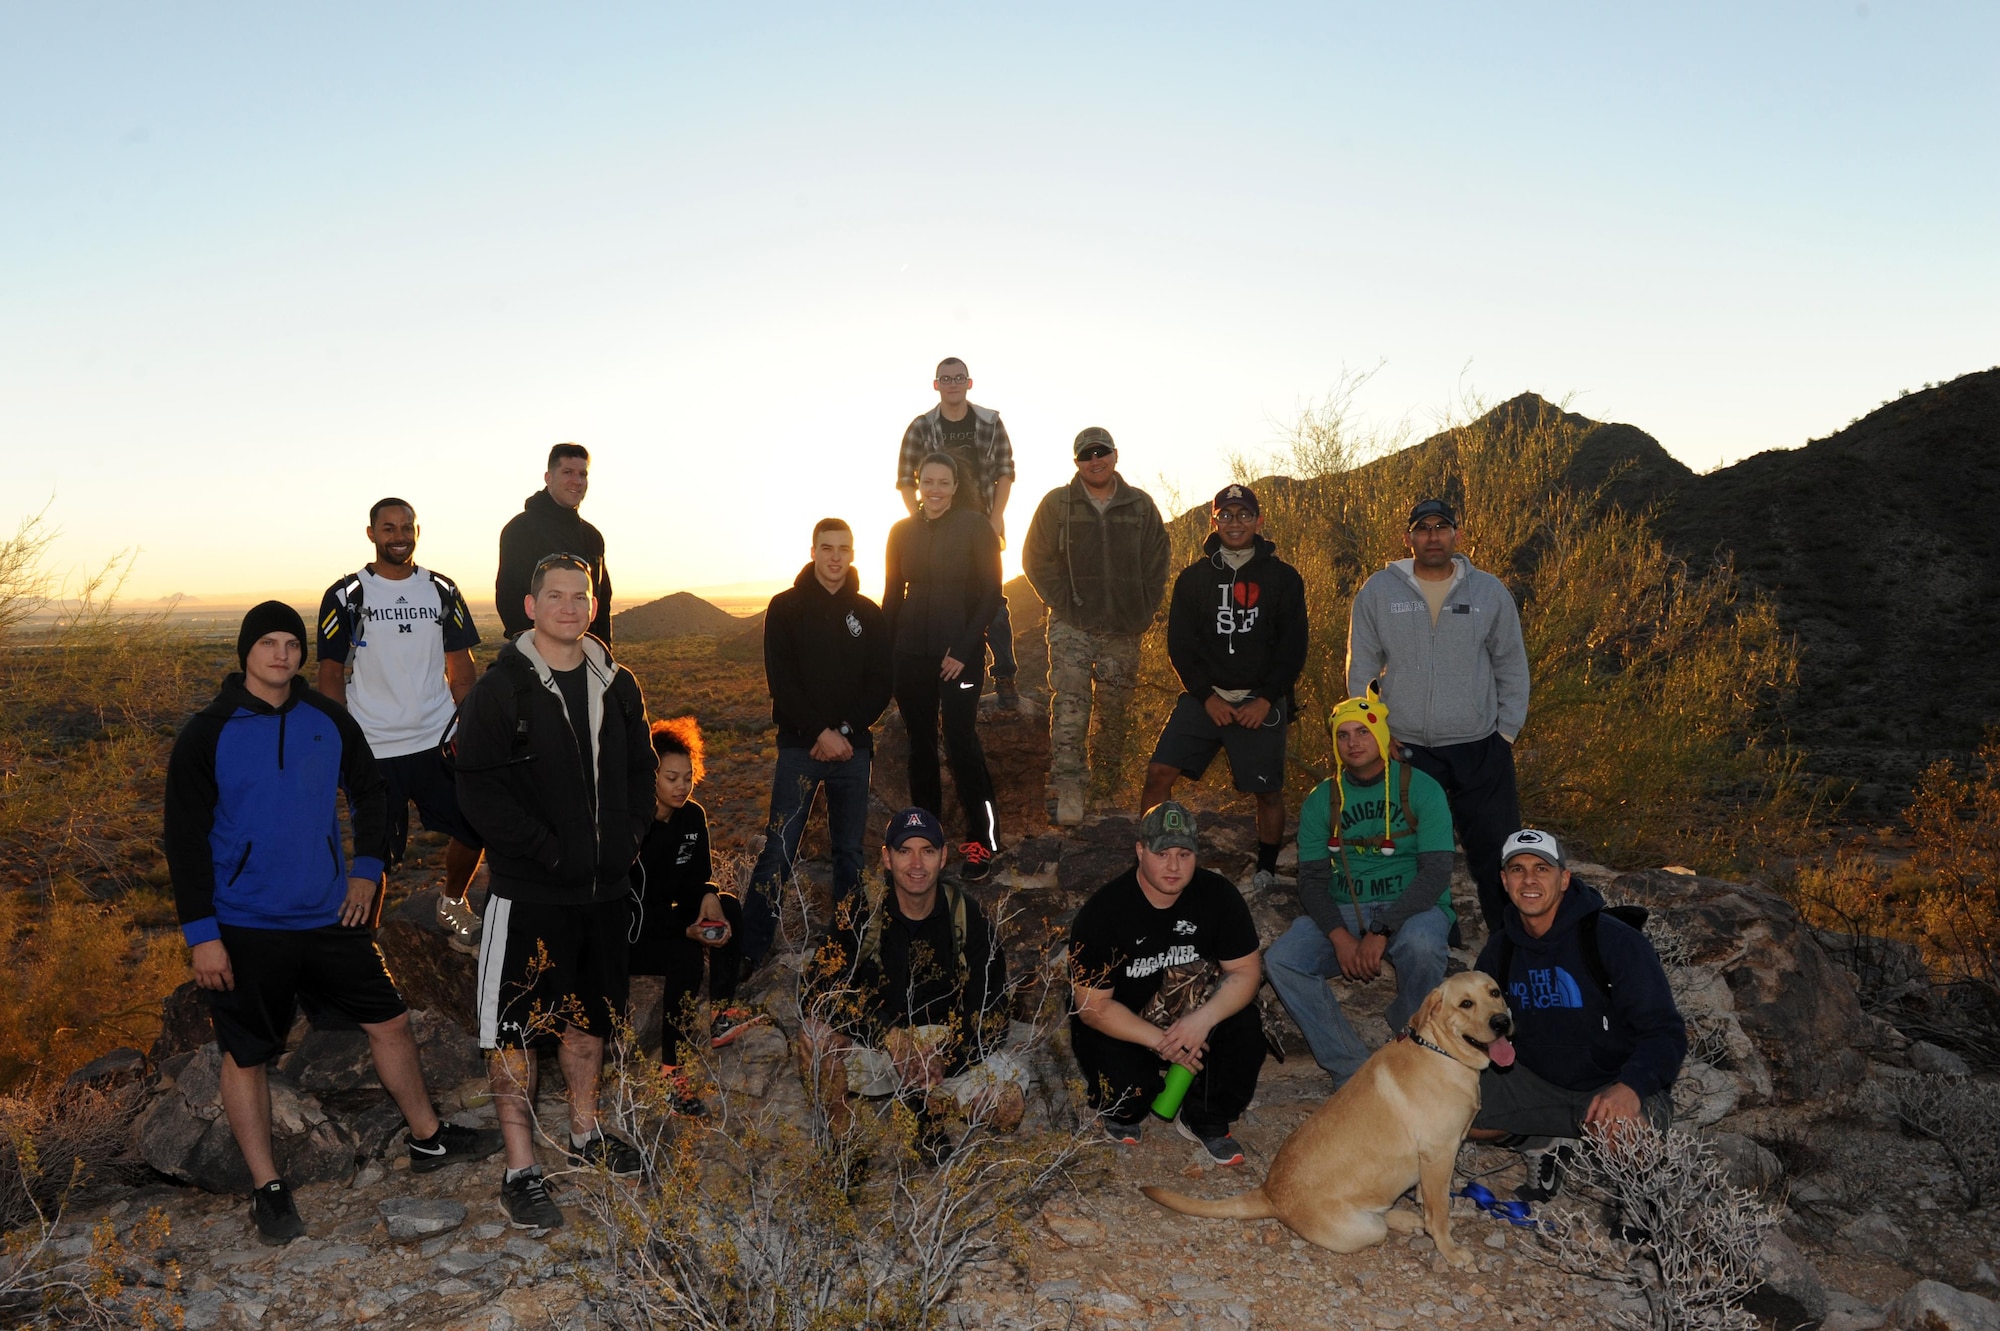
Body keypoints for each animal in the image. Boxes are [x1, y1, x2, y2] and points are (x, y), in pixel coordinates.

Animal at [1144, 963, 1512, 1263]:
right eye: (1465, 1004)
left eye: (1495, 992)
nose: (1503, 1022)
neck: (1441, 1051)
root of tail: (1269, 1193)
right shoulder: (1439, 1154)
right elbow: (1439, 1213)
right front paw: (1449, 1250)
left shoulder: (1438, 1159)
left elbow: (1427, 1197)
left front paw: (1424, 1211)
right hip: (1365, 1229)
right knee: (1381, 1223)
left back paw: (1409, 1218)